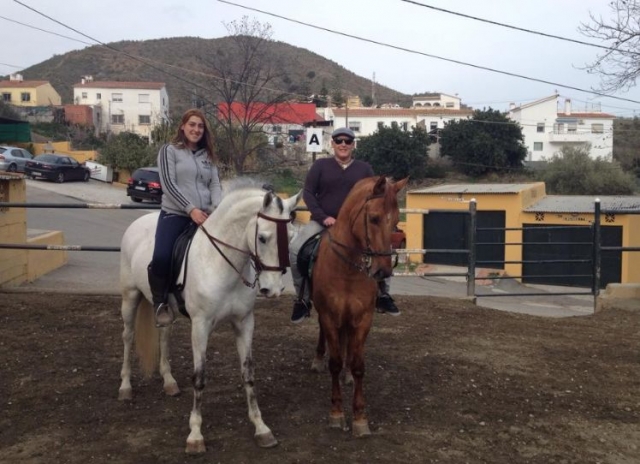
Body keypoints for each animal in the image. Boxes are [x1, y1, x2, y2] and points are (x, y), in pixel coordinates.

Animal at [117, 181, 301, 454]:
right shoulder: (201, 326)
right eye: (262, 238)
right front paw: (195, 435)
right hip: (130, 297)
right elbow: (200, 376)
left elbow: (248, 373)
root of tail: (137, 223)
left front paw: (261, 428)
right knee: (128, 337)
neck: (221, 263)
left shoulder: (244, 322)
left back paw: (169, 382)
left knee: (164, 335)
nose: (274, 289)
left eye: (289, 237)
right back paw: (125, 387)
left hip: (164, 310)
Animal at [308, 175, 408, 437]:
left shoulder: (363, 319)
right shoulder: (329, 316)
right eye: (373, 218)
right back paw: (318, 360)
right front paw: (336, 413)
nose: (383, 271)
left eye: (395, 221)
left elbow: (358, 365)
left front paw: (360, 417)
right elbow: (334, 362)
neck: (347, 270)